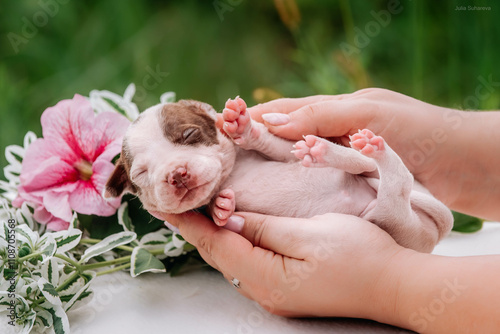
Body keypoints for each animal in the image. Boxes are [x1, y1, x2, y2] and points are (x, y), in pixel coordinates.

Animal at [104, 98, 454, 252]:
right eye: (142, 173)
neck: (231, 174)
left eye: (189, 135)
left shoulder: (283, 147)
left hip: (381, 190)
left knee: (367, 166)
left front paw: (242, 124)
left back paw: (339, 151)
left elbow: (271, 141)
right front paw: (221, 209)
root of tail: (431, 234)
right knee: (393, 187)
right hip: (387, 220)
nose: (177, 174)